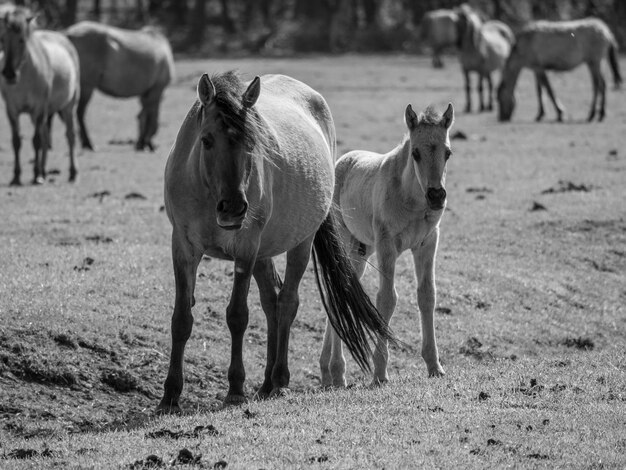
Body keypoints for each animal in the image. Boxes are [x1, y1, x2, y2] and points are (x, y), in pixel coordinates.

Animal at [0, 8, 80, 185]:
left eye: (22, 40)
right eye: (2, 40)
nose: (9, 73)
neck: (24, 77)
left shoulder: (39, 107)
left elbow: (35, 141)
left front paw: (36, 175)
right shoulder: (12, 109)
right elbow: (16, 141)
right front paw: (16, 176)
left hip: (68, 106)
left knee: (70, 136)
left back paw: (72, 172)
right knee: (45, 137)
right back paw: (44, 170)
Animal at [65, 21, 173, 151]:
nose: (151, 145)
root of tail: (69, 33)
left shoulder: (146, 93)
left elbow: (143, 116)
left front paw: (142, 142)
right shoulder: (156, 89)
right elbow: (148, 117)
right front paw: (144, 142)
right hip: (87, 86)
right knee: (80, 113)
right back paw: (88, 143)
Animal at [158, 71, 392, 414]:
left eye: (252, 142)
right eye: (206, 140)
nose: (233, 208)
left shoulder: (245, 247)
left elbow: (237, 315)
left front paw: (236, 389)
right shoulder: (184, 247)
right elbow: (181, 319)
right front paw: (170, 395)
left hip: (298, 243)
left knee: (287, 303)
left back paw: (279, 379)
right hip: (263, 252)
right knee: (271, 303)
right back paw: (267, 383)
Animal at [320, 102, 450, 386]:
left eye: (448, 152)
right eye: (415, 153)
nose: (436, 196)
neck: (412, 198)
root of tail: (343, 160)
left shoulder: (427, 243)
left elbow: (427, 295)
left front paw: (434, 365)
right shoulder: (387, 244)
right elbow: (387, 300)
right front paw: (380, 372)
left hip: (361, 251)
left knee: (342, 292)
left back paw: (327, 372)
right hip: (344, 244)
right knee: (338, 292)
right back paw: (337, 372)